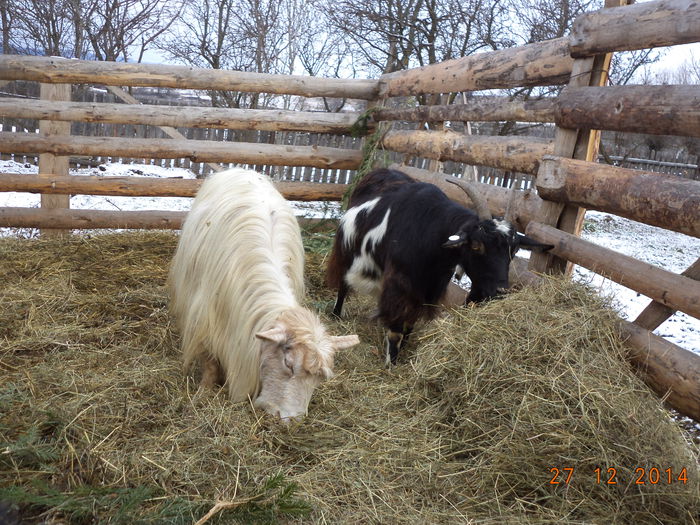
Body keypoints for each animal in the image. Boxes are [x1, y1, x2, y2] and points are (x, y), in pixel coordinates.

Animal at [167, 168, 358, 422]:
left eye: (319, 378)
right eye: (288, 363)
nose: (291, 420)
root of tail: (242, 169)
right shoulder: (204, 318)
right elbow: (209, 361)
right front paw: (203, 392)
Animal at [328, 168, 552, 364]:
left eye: (514, 250)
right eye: (476, 245)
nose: (500, 291)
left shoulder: (427, 289)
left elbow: (410, 324)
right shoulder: (400, 284)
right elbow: (396, 330)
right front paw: (391, 364)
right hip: (345, 251)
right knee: (342, 283)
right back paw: (336, 315)